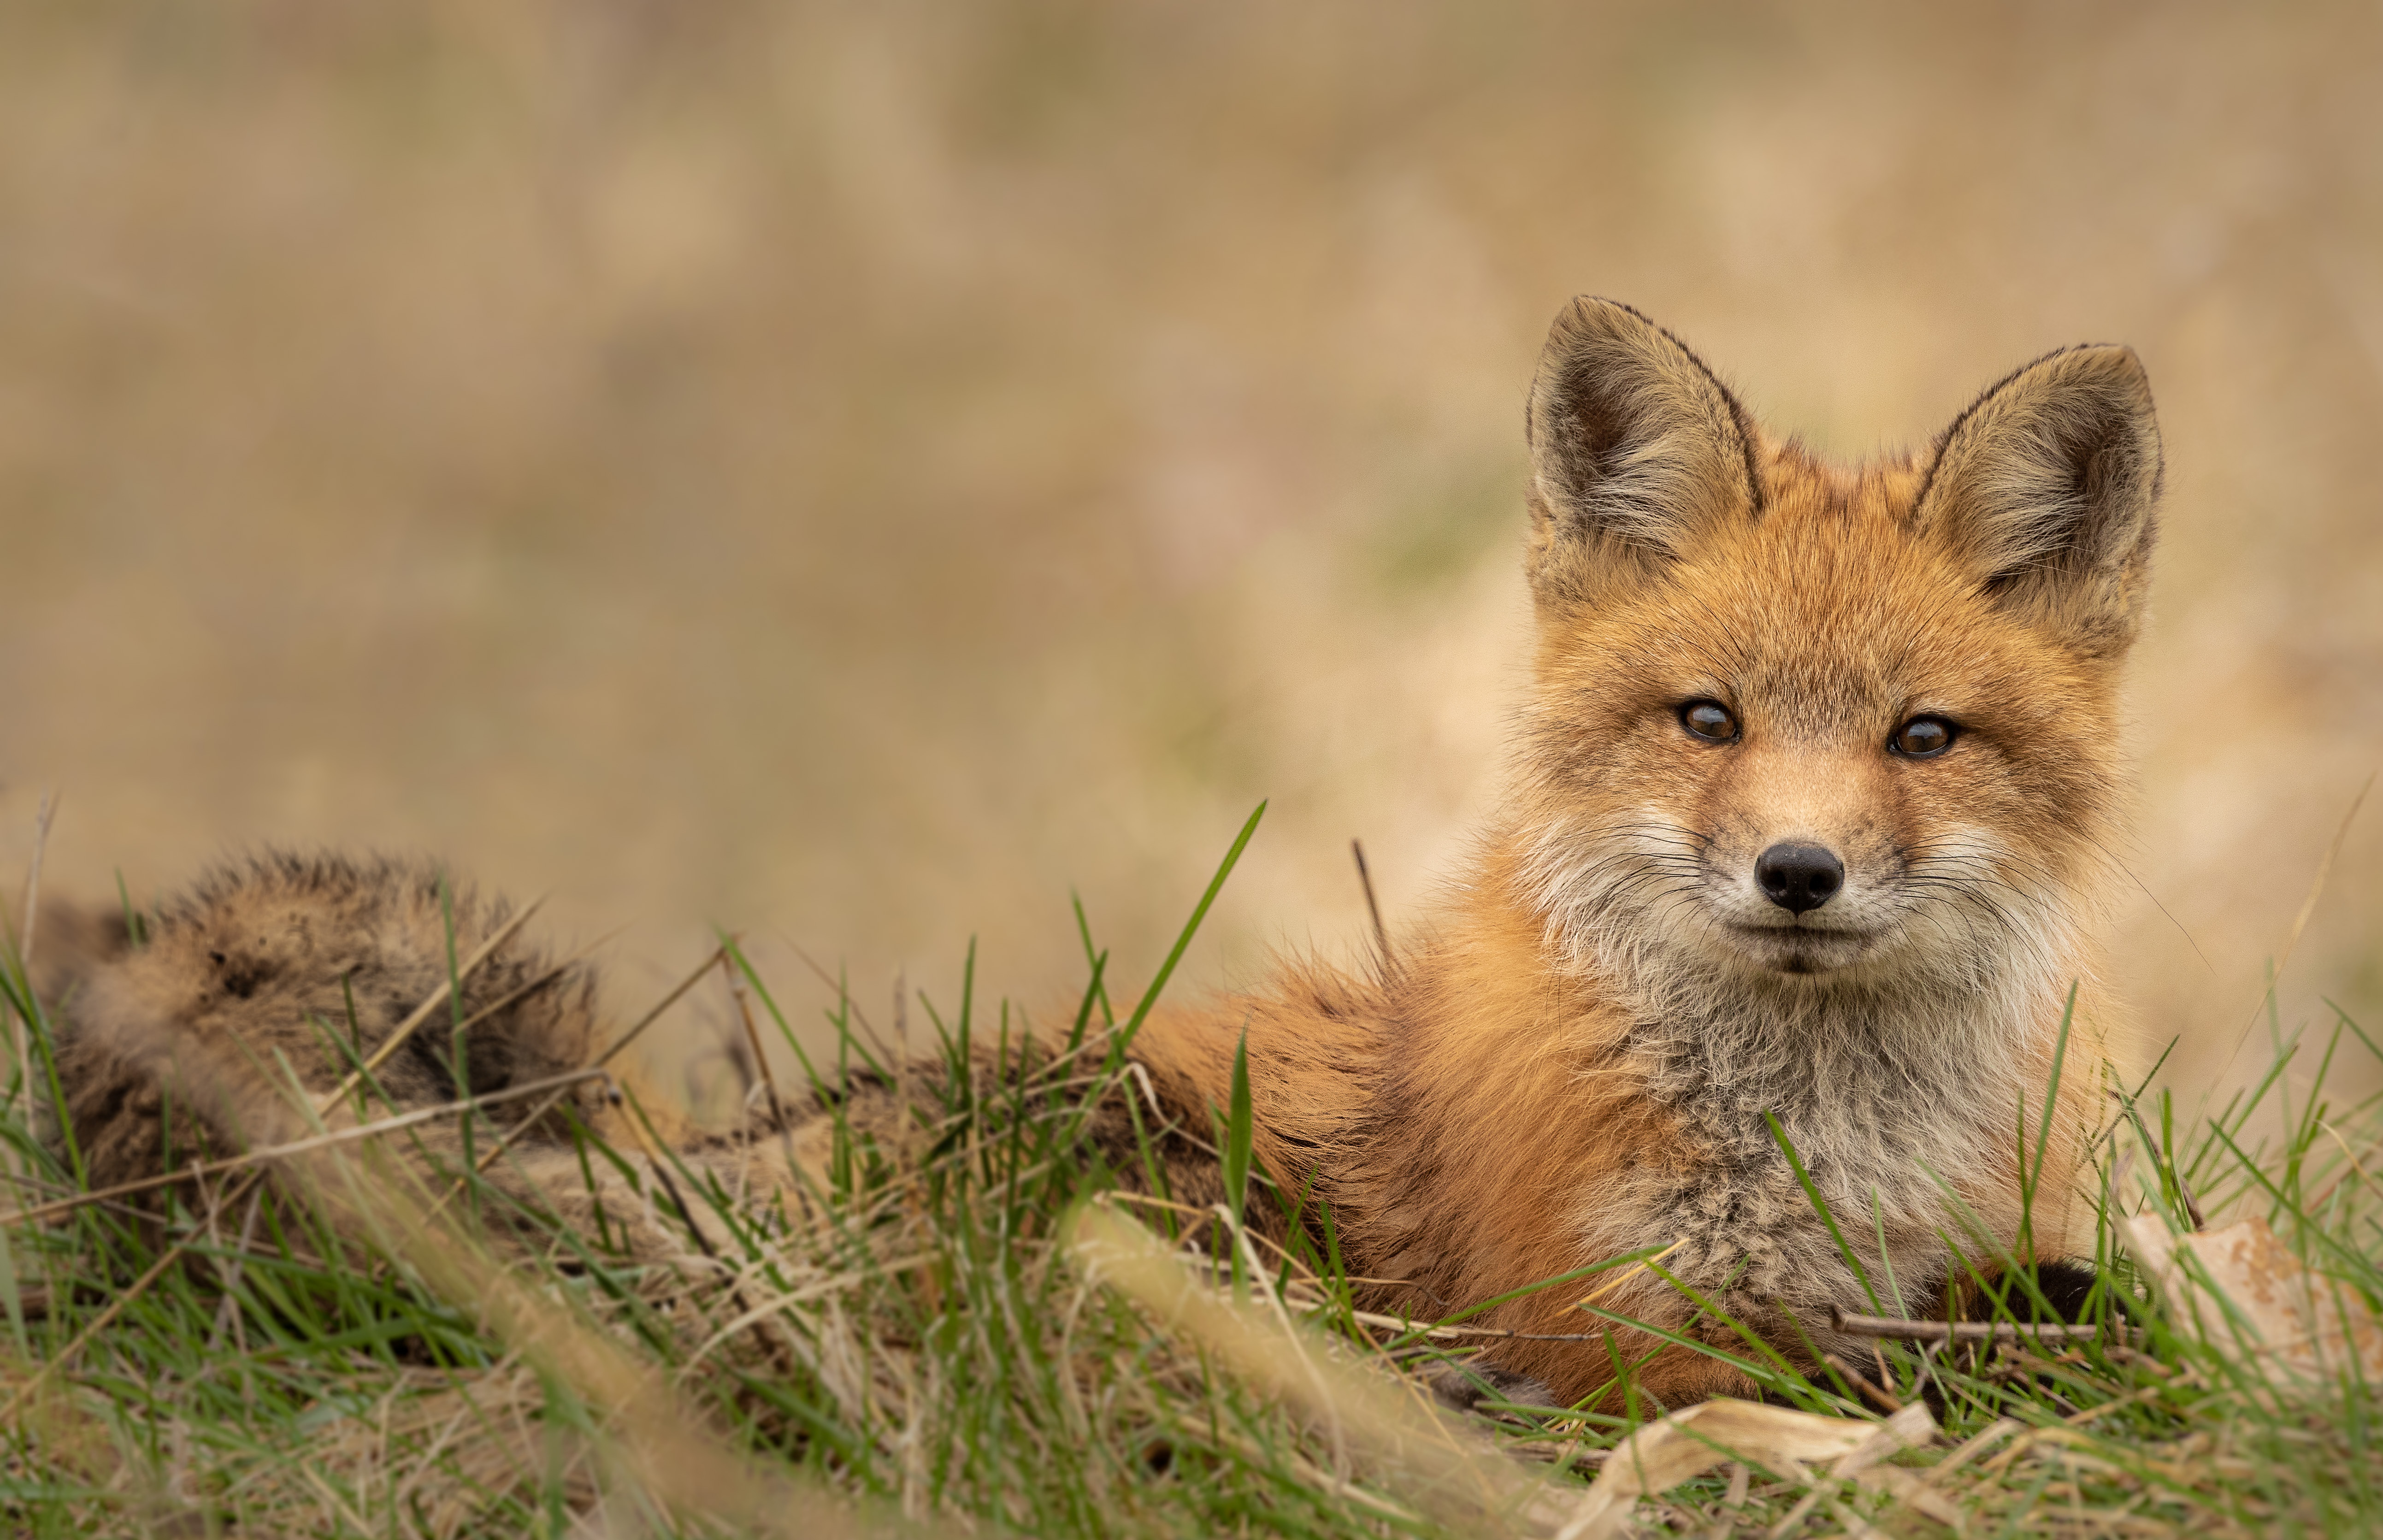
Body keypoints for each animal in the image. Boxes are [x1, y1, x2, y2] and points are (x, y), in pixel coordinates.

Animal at [23, 295, 2164, 1421]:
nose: (1797, 872)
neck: (1821, 1138)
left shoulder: (1944, 1241)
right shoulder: (1608, 1319)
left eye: (1919, 740)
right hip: (1144, 1174)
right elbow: (1869, 1369)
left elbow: (2054, 1292)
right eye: (1706, 721)